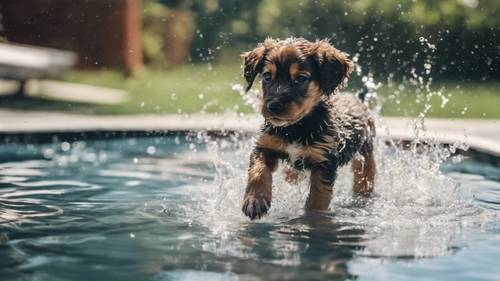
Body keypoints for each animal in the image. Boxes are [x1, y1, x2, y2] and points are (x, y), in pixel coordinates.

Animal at [239, 38, 376, 220]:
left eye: (300, 79)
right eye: (267, 77)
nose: (273, 106)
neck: (295, 128)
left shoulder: (324, 161)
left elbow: (319, 195)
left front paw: (313, 218)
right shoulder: (265, 146)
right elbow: (258, 170)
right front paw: (255, 199)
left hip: (365, 151)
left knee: (365, 173)